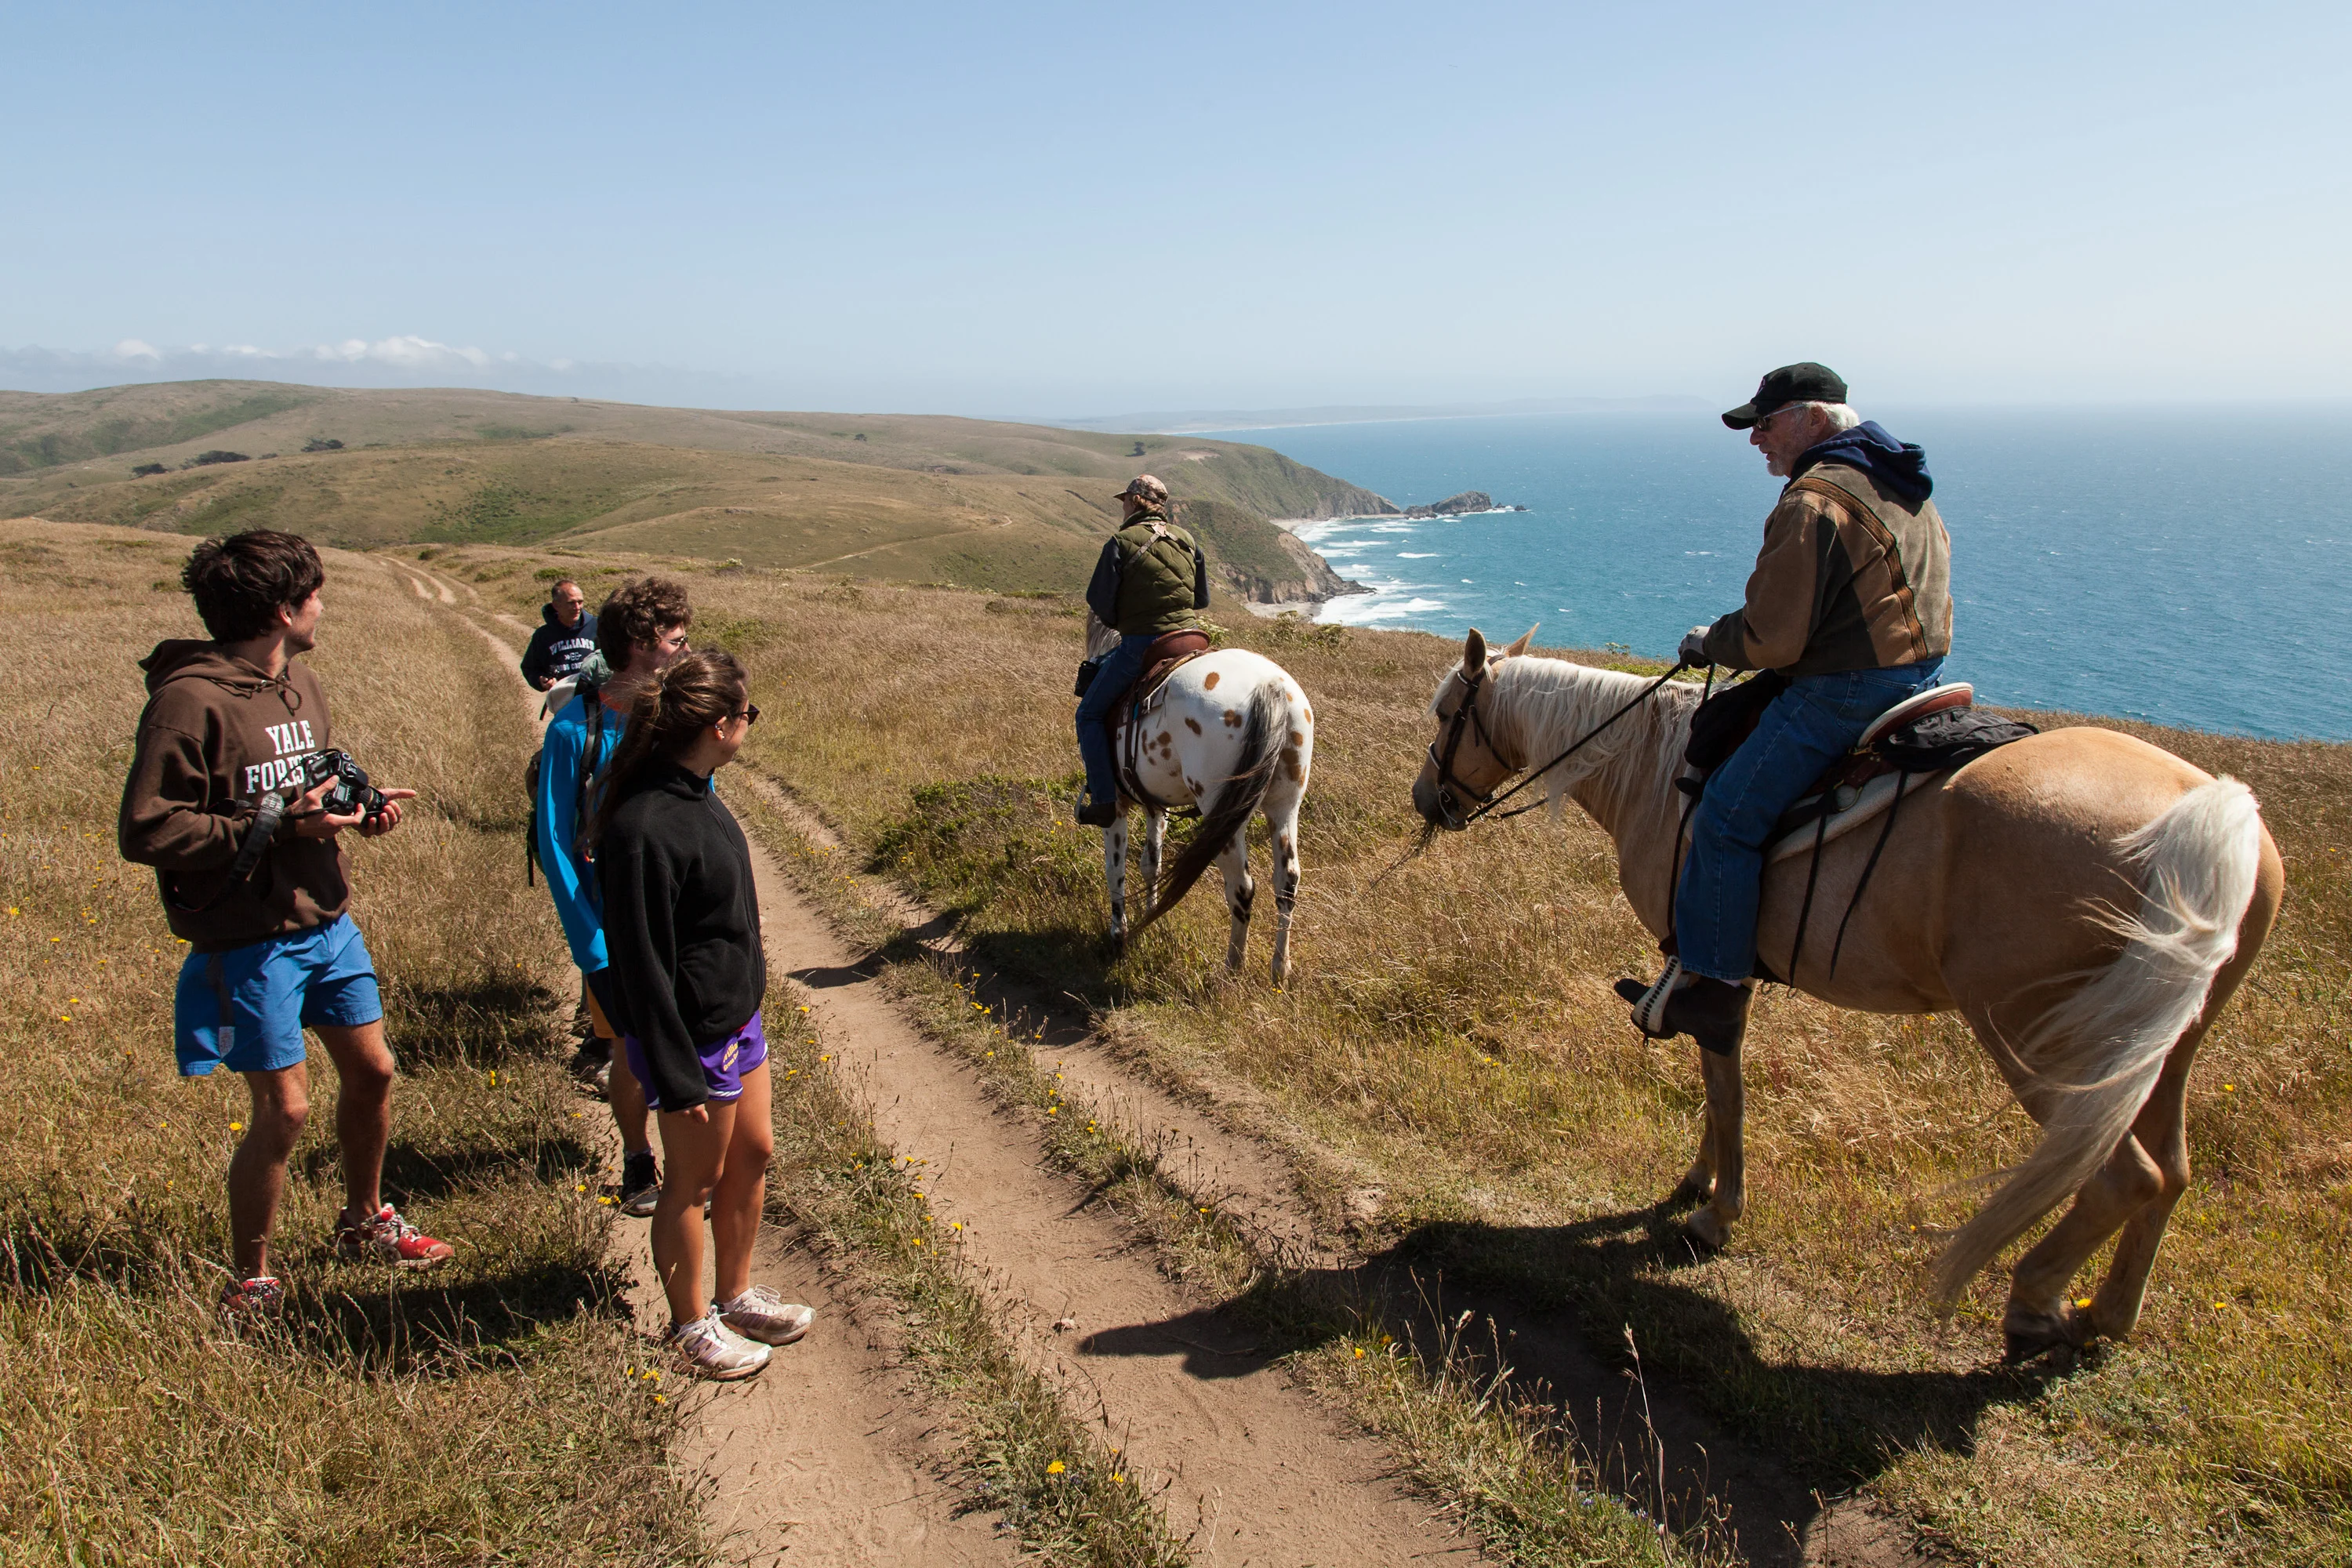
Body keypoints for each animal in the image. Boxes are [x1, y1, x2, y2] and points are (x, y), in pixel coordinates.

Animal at [1083, 615, 1316, 983]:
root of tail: (1271, 686)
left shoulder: (1116, 805)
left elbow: (1114, 869)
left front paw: (1119, 935)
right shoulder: (1155, 805)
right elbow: (1150, 864)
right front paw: (1151, 917)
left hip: (1223, 815)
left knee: (1242, 886)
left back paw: (1233, 968)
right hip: (1285, 806)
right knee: (1287, 882)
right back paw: (1280, 968)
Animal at [1410, 627, 2283, 1361]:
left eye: (1450, 712)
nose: (1427, 799)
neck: (1658, 771)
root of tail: (2205, 814)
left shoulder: (1705, 962)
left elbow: (1723, 1084)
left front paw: (1715, 1212)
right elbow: (1718, 1082)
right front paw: (1698, 1183)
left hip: (2046, 1039)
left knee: (2122, 1176)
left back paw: (2035, 1302)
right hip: (2164, 1045)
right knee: (2171, 1171)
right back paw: (2108, 1313)